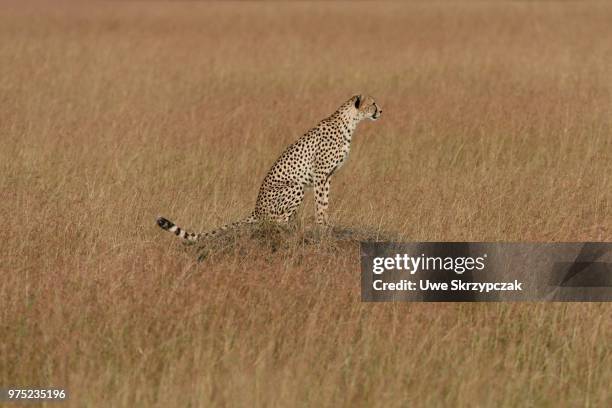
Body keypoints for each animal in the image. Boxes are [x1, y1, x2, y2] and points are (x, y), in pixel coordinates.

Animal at [155, 95, 380, 242]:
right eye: (373, 104)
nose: (381, 110)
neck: (350, 123)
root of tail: (256, 209)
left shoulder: (328, 176)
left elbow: (324, 201)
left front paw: (326, 224)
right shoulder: (320, 175)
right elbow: (320, 203)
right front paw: (321, 225)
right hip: (295, 186)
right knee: (273, 221)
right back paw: (289, 227)